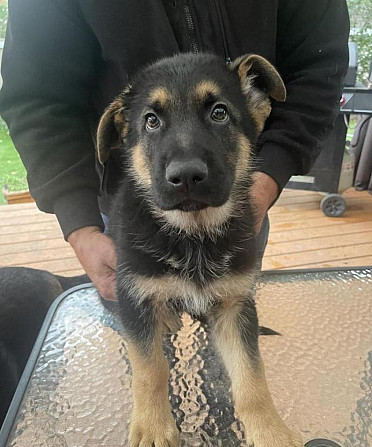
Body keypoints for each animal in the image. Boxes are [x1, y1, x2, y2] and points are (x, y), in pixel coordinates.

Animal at [96, 53, 302, 447]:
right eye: (151, 120)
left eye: (219, 113)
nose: (187, 176)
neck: (193, 234)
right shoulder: (135, 297)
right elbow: (150, 370)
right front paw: (152, 427)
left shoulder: (235, 305)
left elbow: (252, 376)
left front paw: (270, 430)